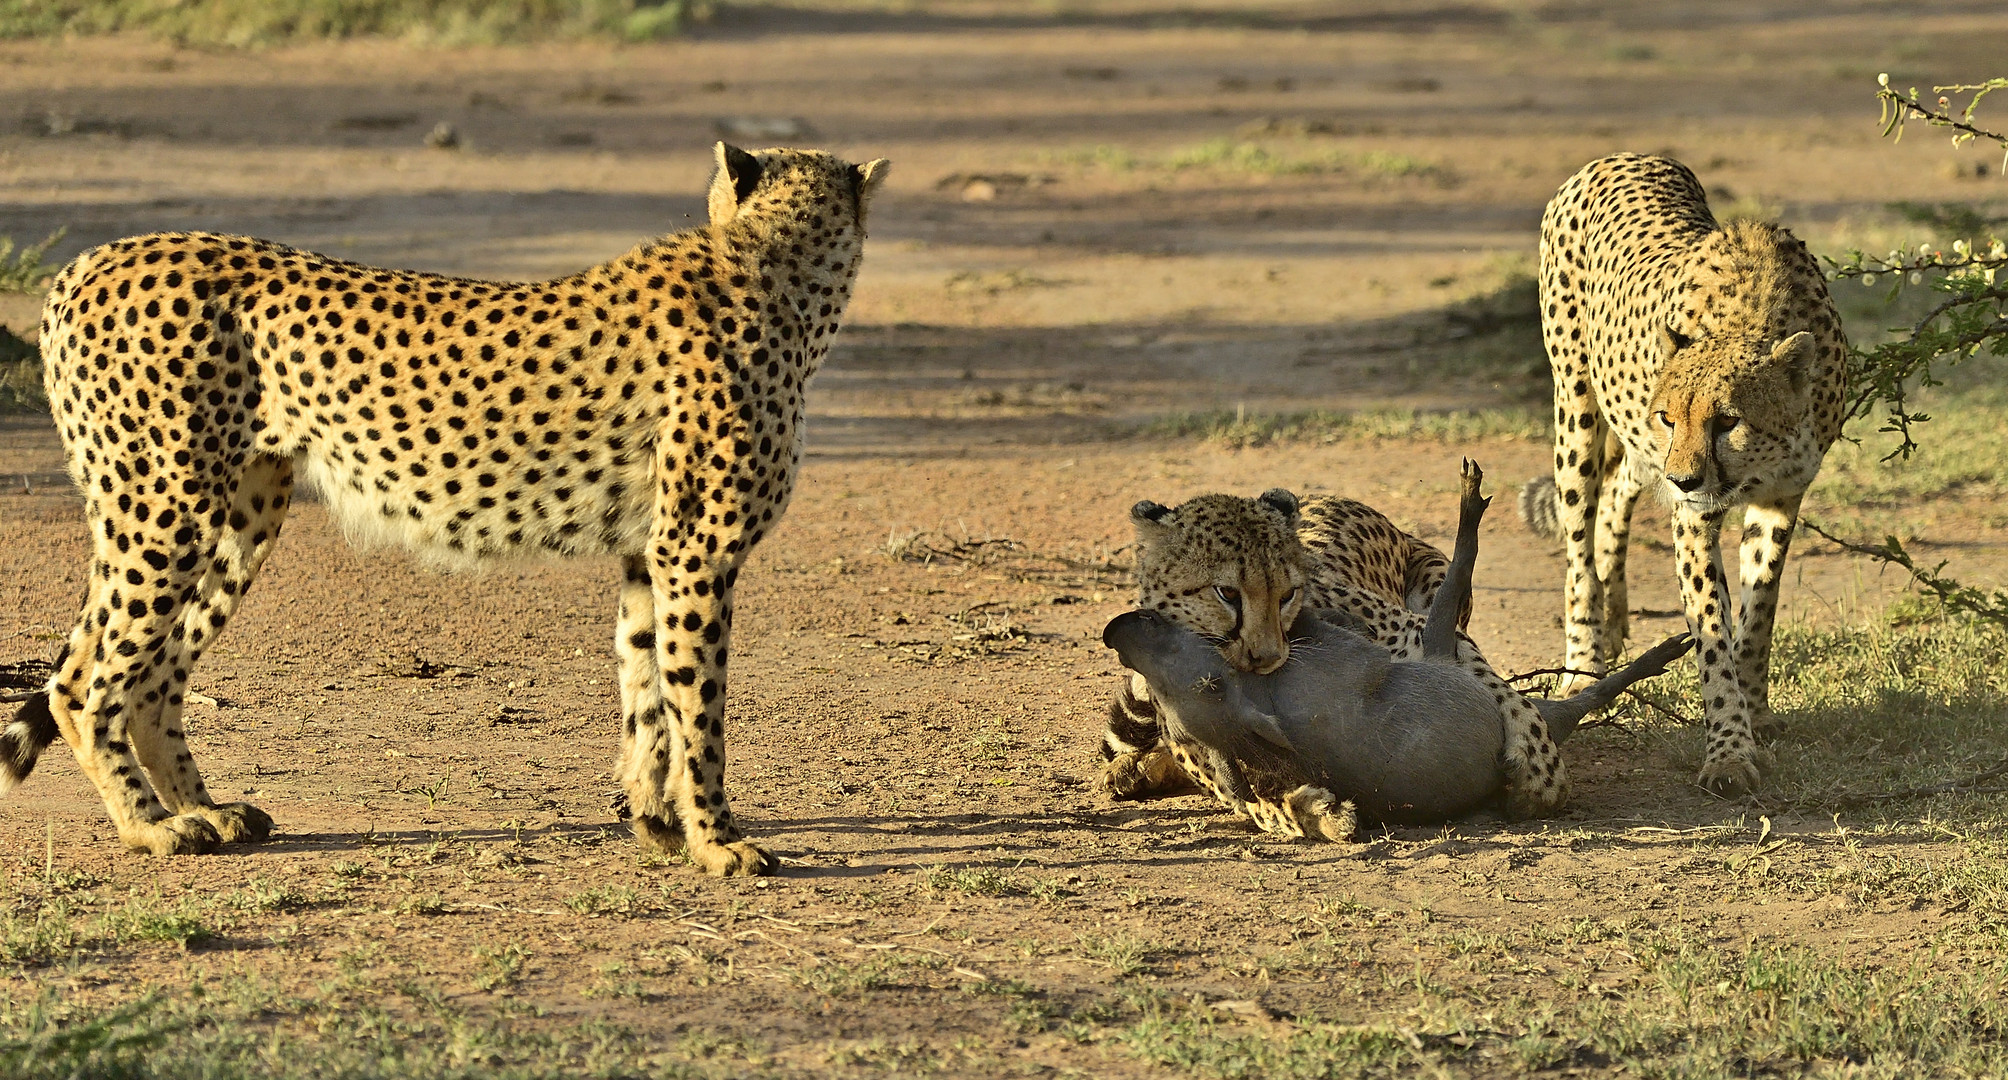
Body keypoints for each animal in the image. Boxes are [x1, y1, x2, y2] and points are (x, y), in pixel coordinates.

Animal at [0, 140, 891, 875]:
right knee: (87, 680)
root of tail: (90, 259)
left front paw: (656, 820)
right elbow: (698, 707)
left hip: (237, 515)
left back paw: (205, 809)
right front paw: (717, 839)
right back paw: (150, 827)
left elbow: (646, 689)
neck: (771, 268)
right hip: (166, 506)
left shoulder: (650, 553)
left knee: (144, 674)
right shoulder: (697, 550)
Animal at [1108, 481, 1574, 831]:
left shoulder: (1411, 633)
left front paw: (1541, 770)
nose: (1268, 656)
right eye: (1227, 593)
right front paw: (1315, 811)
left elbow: (1498, 688)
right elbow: (1255, 798)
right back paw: (1132, 768)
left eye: (1287, 593)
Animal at [1526, 151, 1839, 790]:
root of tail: (1617, 156)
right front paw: (1729, 750)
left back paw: (1615, 619)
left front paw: (1755, 711)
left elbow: (1758, 613)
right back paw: (1582, 663)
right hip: (1577, 409)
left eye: (1728, 421)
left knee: (1618, 494)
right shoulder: (1693, 513)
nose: (1686, 480)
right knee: (1578, 545)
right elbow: (1712, 632)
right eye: (1669, 416)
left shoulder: (1782, 496)